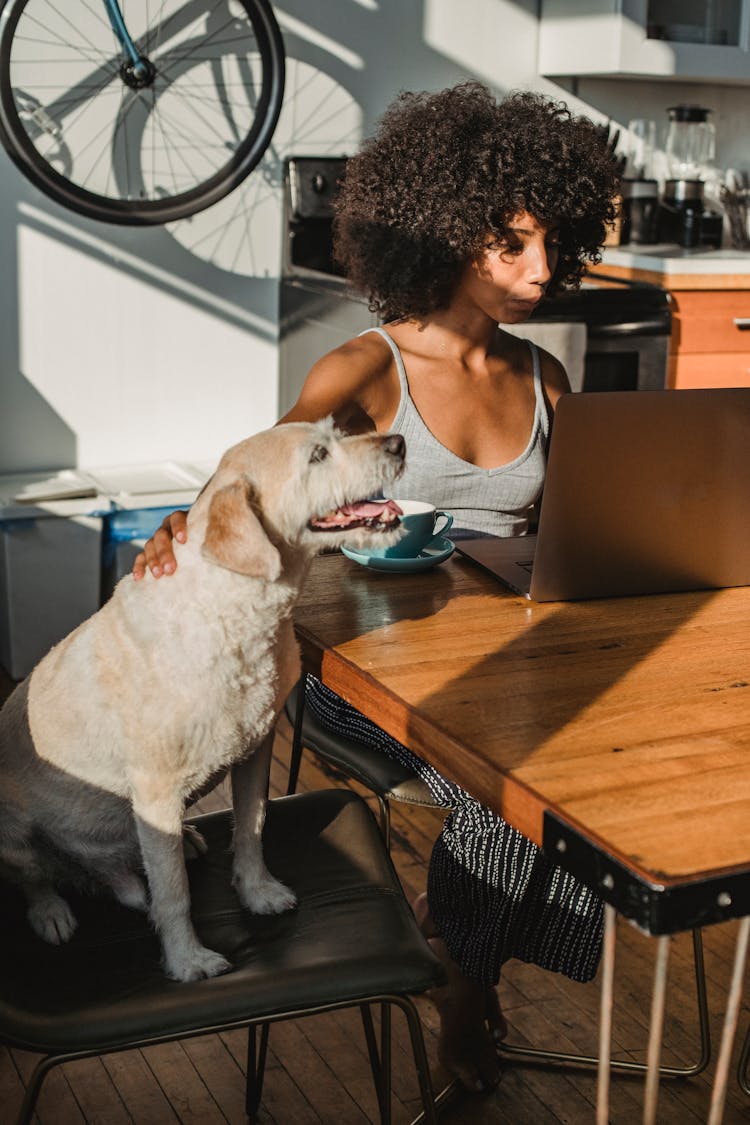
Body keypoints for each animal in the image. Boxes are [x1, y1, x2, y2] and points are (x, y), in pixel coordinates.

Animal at [0, 418, 404, 981]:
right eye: (318, 455)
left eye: (339, 433)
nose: (399, 443)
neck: (235, 610)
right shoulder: (155, 794)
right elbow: (173, 895)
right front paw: (187, 960)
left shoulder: (256, 751)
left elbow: (253, 827)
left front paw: (257, 892)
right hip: (15, 835)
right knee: (34, 878)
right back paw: (52, 911)